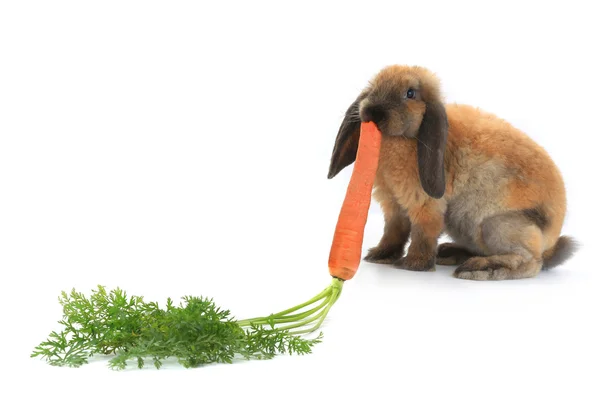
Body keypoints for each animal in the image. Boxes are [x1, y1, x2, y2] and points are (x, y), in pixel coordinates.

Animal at [326, 65, 580, 280]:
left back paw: (479, 269)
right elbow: (393, 231)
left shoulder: (424, 203)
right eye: (373, 87)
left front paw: (413, 265)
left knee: (531, 262)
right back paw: (448, 253)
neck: (406, 139)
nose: (372, 112)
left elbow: (423, 232)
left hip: (496, 225)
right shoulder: (393, 204)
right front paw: (379, 256)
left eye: (410, 93)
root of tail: (551, 242)